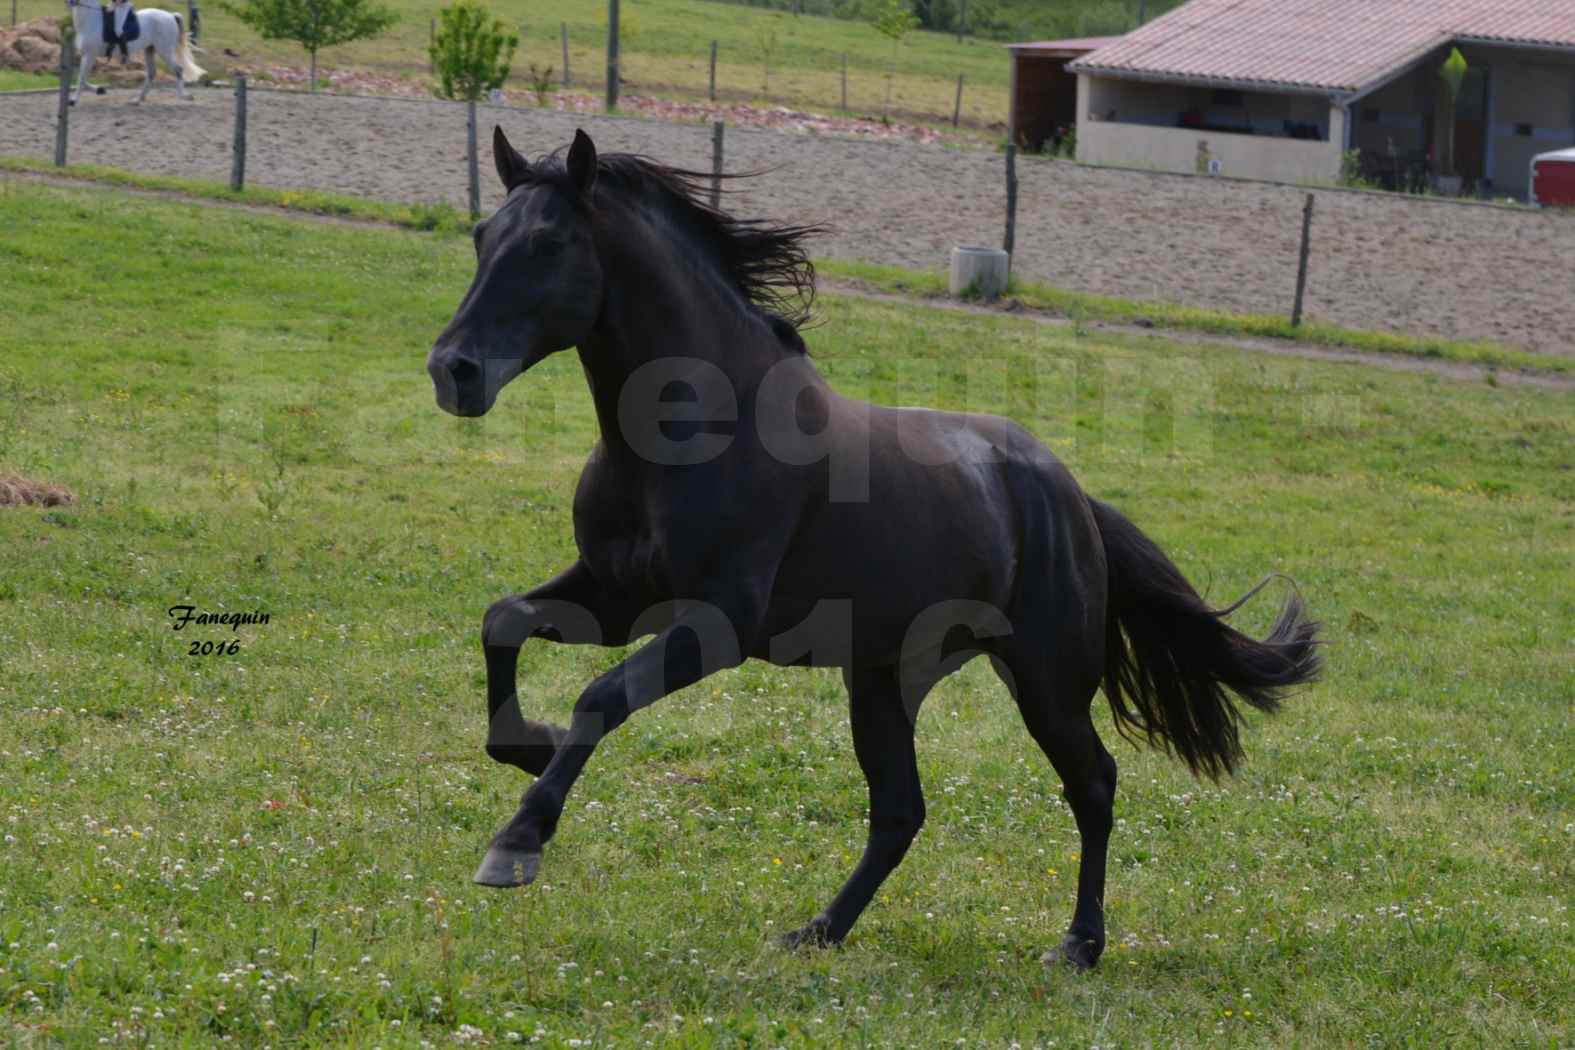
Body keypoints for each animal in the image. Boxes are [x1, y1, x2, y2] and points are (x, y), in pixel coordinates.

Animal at [63, 0, 203, 104]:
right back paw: (138, 99)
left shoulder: (90, 54)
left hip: (165, 50)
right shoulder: (86, 55)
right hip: (149, 49)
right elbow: (82, 77)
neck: (91, 19)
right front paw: (99, 90)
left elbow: (81, 78)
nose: (68, 2)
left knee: (178, 69)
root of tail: (171, 16)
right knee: (152, 73)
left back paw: (183, 96)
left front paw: (73, 100)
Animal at [428, 127, 1316, 976]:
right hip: (884, 678)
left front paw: (516, 843)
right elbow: (502, 620)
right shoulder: (615, 597)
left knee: (1091, 785)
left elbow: (601, 697)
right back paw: (818, 931)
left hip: (1043, 680)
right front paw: (526, 747)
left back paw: (1077, 947)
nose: (452, 371)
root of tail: (1071, 500)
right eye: (481, 235)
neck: (694, 432)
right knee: (900, 812)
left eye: (548, 245)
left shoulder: (714, 627)